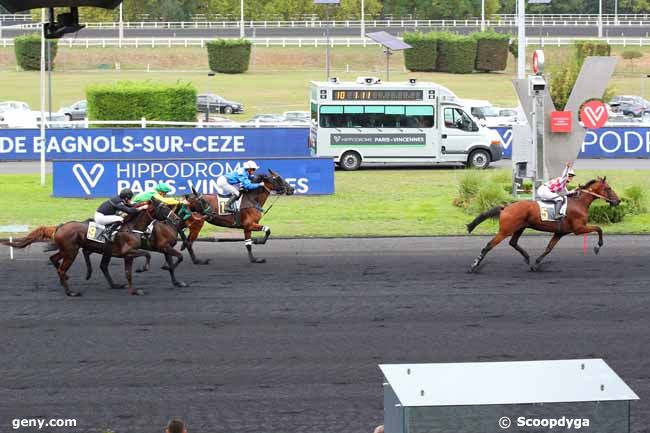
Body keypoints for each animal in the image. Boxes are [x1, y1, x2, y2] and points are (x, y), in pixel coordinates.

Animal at [466, 176, 616, 272]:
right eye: (608, 188)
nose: (617, 201)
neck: (579, 203)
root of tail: (506, 207)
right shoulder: (578, 228)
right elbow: (599, 228)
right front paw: (597, 247)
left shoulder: (560, 232)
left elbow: (549, 248)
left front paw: (536, 264)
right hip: (505, 231)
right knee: (489, 245)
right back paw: (474, 265)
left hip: (520, 228)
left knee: (513, 242)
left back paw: (527, 258)